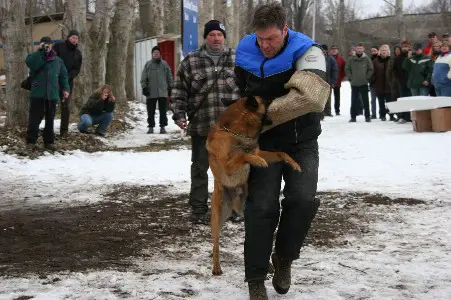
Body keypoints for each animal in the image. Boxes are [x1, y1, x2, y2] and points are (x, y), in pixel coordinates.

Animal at [207, 96, 302, 276]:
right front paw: (256, 160)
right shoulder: (228, 166)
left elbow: (280, 152)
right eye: (267, 99)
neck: (237, 132)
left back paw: (269, 266)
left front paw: (294, 163)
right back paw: (216, 267)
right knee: (215, 243)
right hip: (218, 217)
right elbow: (242, 155)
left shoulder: (260, 151)